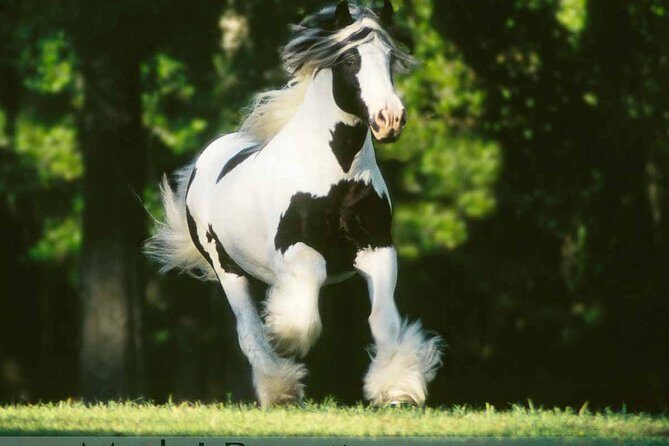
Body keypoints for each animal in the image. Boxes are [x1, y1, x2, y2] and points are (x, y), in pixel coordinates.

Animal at [145, 0, 443, 408]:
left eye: (389, 58)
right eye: (350, 59)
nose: (390, 119)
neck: (337, 175)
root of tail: (206, 158)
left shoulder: (378, 248)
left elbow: (383, 320)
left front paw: (397, 388)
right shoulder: (295, 250)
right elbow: (303, 309)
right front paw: (284, 337)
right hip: (227, 269)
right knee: (249, 331)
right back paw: (280, 387)